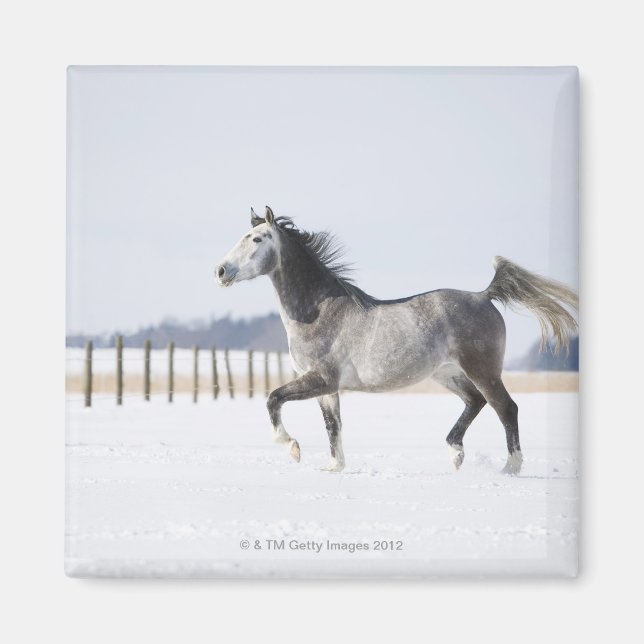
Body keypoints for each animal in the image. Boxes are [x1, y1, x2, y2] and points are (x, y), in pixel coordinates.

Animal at [215, 206, 578, 475]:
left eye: (257, 239)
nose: (220, 271)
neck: (320, 311)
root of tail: (483, 295)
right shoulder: (327, 387)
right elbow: (333, 426)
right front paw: (334, 467)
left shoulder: (320, 379)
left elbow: (273, 398)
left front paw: (292, 448)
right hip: (446, 373)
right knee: (475, 401)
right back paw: (456, 454)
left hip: (483, 370)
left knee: (506, 407)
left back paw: (509, 468)